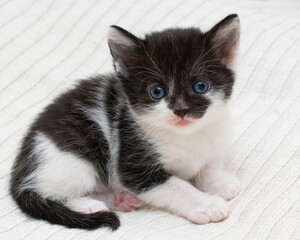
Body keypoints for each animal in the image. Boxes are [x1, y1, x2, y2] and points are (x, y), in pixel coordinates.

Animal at [9, 13, 241, 231]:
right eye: (157, 92)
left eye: (200, 86)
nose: (181, 110)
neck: (187, 135)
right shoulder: (133, 166)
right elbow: (177, 187)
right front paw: (207, 205)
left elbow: (209, 165)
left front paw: (220, 183)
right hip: (72, 160)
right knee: (46, 191)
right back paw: (86, 205)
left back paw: (119, 199)